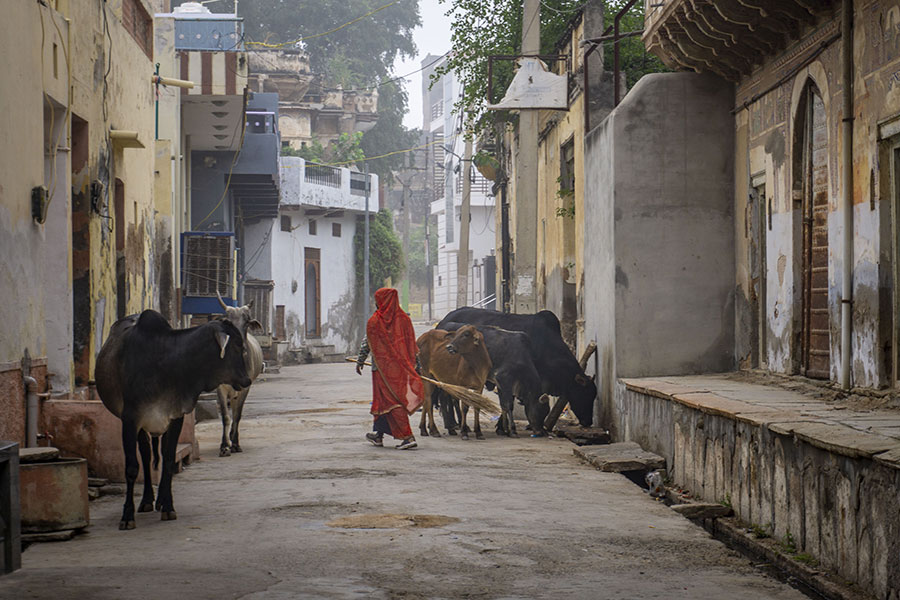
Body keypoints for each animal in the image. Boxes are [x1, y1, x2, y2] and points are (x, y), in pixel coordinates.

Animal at [95, 312, 251, 528]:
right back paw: (146, 500)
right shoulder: (130, 420)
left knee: (159, 454)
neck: (166, 364)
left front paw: (168, 507)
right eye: (236, 345)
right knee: (145, 455)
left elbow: (168, 460)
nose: (247, 380)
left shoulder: (175, 417)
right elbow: (132, 467)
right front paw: (127, 516)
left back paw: (160, 499)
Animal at [438, 308, 596, 428]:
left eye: (593, 395)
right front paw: (503, 427)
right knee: (445, 396)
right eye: (584, 394)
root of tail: (443, 321)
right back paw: (451, 423)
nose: (588, 422)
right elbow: (509, 400)